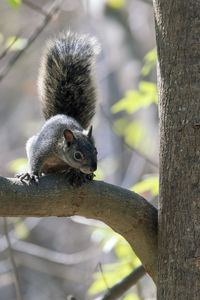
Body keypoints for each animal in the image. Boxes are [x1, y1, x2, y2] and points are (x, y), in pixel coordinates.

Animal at [17, 31, 100, 185]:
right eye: (77, 155)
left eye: (96, 151)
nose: (93, 168)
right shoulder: (42, 147)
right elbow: (35, 160)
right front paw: (31, 174)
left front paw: (77, 173)